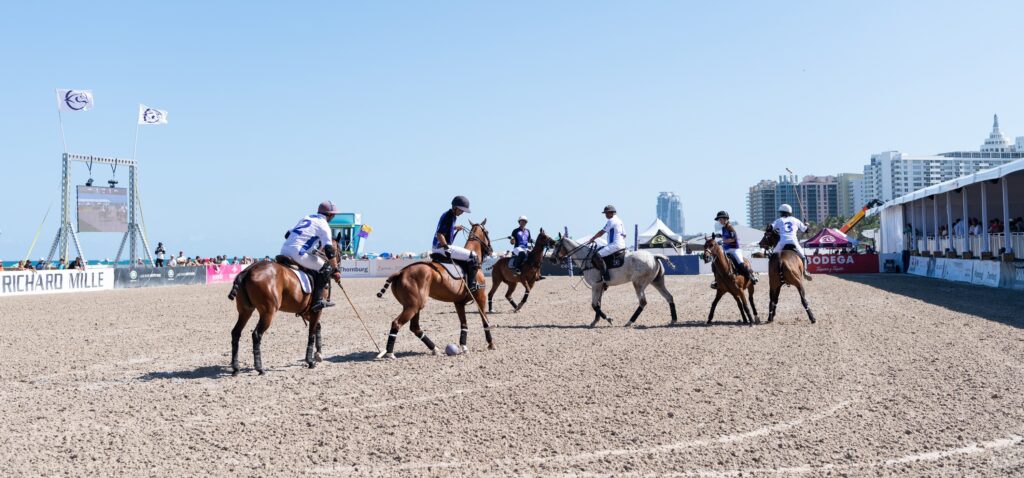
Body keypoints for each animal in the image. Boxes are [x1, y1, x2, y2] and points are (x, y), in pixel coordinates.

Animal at [226, 235, 342, 378]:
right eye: (339, 251)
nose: (337, 272)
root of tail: (247, 271)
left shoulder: (307, 311)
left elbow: (317, 328)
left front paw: (318, 354)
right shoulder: (316, 310)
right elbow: (312, 333)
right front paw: (310, 361)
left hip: (245, 311)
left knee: (236, 333)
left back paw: (236, 368)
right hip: (268, 312)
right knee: (256, 334)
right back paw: (260, 368)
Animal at [376, 219, 495, 358]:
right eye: (487, 232)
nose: (491, 250)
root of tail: (400, 272)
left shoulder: (459, 302)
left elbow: (464, 324)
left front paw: (464, 346)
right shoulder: (480, 297)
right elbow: (485, 320)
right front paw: (491, 344)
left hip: (414, 305)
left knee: (414, 327)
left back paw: (435, 349)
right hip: (413, 305)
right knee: (397, 323)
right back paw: (390, 353)